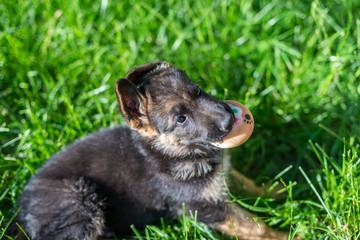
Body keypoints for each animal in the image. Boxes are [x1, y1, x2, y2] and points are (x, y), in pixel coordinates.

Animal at [7, 62, 290, 240]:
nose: (230, 119)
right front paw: (291, 234)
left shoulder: (218, 180)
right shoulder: (202, 206)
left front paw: (275, 190)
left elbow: (244, 182)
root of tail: (19, 213)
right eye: (180, 119)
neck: (173, 150)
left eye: (198, 91)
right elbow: (255, 227)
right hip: (78, 199)